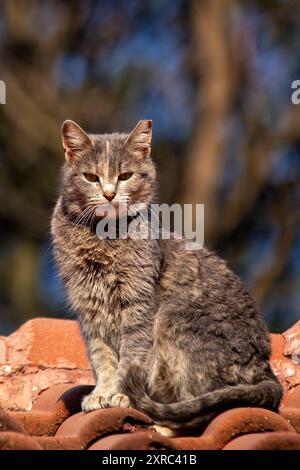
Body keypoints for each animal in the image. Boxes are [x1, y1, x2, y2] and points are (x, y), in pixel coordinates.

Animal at [50, 119, 282, 436]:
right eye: (90, 177)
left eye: (125, 176)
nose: (109, 194)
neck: (102, 240)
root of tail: (265, 368)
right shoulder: (89, 308)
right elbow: (101, 356)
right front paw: (102, 393)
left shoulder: (138, 304)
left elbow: (131, 354)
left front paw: (120, 394)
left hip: (173, 319)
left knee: (204, 408)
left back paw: (163, 426)